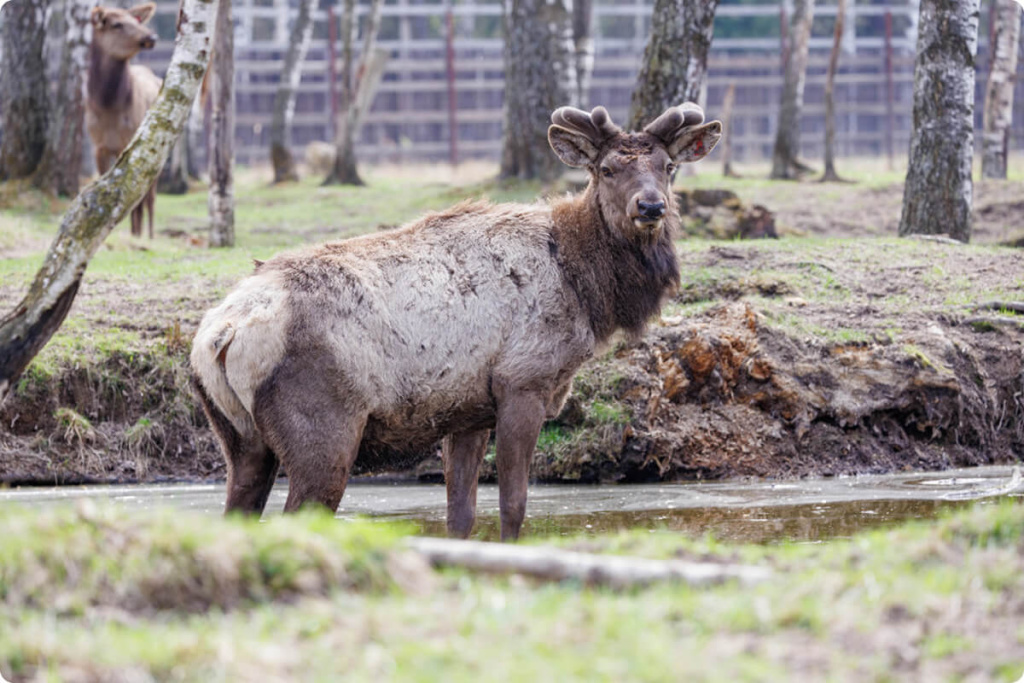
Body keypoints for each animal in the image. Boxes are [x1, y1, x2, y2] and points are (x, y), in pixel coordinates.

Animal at [85, 3, 161, 238]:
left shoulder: (130, 144)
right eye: (117, 24)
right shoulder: (98, 146)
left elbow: (135, 200)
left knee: (150, 198)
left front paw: (136, 235)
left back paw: (149, 235)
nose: (151, 36)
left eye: (137, 20)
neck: (109, 107)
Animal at [191, 104, 722, 540]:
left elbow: (460, 516)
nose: (650, 207)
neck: (588, 290)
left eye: (668, 167)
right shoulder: (523, 383)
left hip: (241, 440)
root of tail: (220, 336)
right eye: (607, 169)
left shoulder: (466, 411)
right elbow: (513, 506)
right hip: (324, 431)